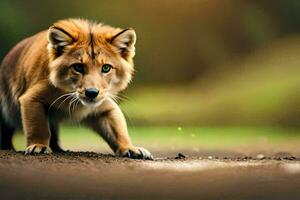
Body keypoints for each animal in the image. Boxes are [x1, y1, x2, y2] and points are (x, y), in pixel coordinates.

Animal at [0, 18, 152, 159]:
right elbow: (38, 126)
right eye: (78, 67)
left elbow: (118, 131)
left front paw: (131, 148)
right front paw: (38, 146)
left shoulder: (106, 106)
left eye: (106, 68)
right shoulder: (32, 98)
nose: (92, 93)